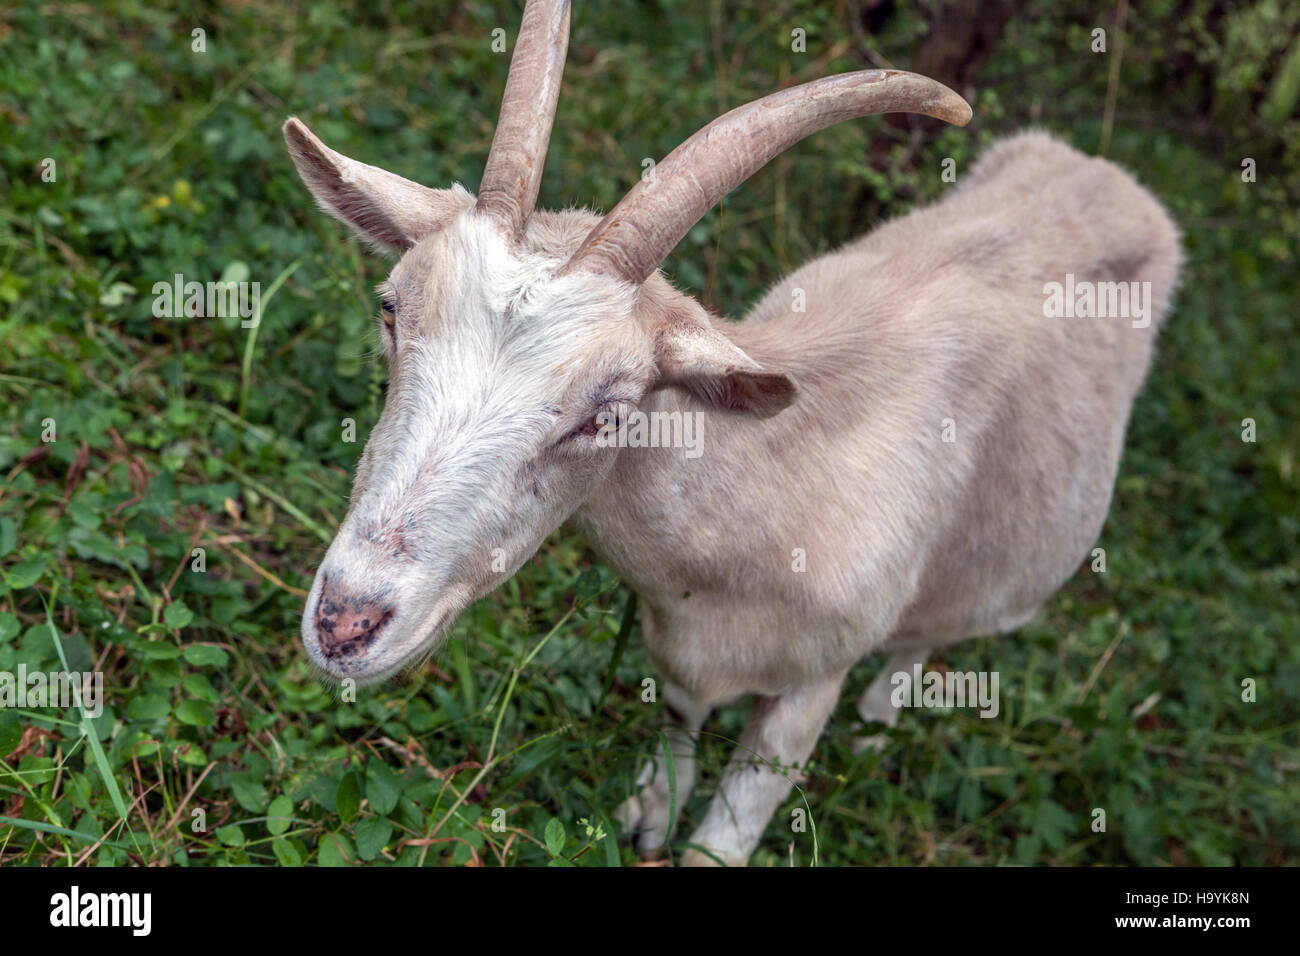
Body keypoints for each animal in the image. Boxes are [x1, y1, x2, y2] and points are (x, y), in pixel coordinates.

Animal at [286, 0, 1181, 866]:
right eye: (391, 309)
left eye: (607, 412)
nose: (345, 624)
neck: (766, 504)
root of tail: (1109, 175)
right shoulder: (677, 648)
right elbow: (680, 723)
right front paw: (651, 812)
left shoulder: (807, 689)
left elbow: (724, 838)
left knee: (923, 640)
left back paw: (882, 715)